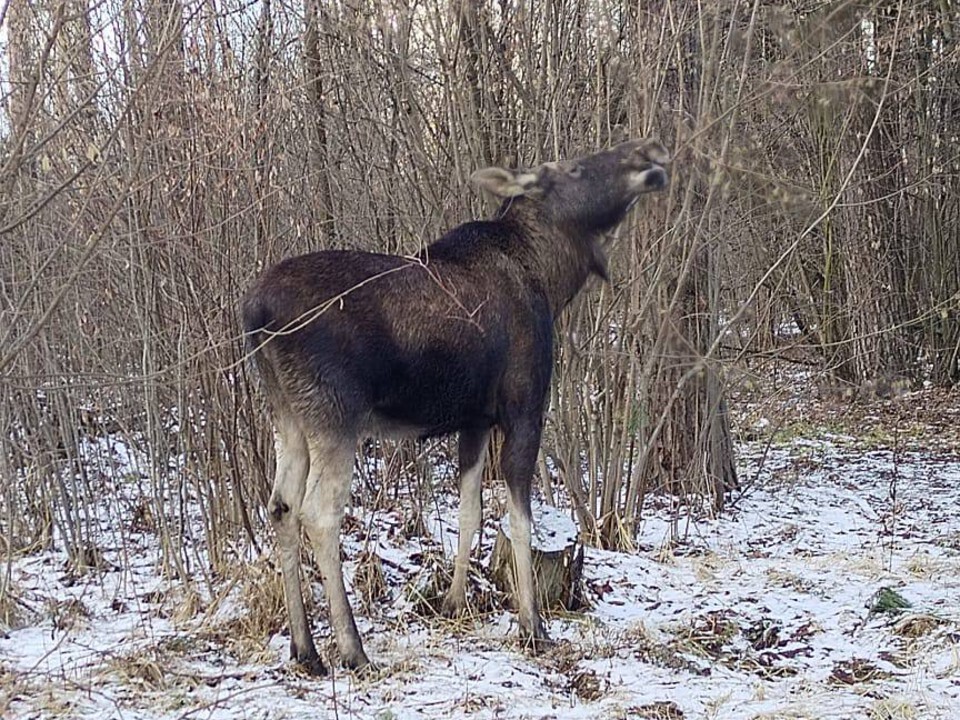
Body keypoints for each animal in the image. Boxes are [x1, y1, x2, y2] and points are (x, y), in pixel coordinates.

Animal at [244, 138, 672, 672]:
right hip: (334, 416)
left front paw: (453, 602)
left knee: (280, 505)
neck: (552, 279)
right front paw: (532, 625)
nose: (648, 153)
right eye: (573, 168)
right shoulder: (524, 407)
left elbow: (470, 511)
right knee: (318, 514)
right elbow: (519, 519)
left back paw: (305, 649)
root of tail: (254, 313)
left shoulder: (475, 421)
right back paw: (352, 649)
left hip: (289, 415)